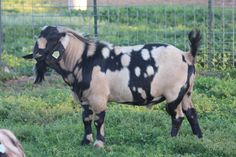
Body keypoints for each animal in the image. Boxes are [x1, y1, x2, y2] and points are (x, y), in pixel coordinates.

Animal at [23, 25, 202, 147]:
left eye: (53, 39)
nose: (36, 54)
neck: (82, 60)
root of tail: (187, 55)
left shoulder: (98, 97)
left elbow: (98, 120)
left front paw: (99, 144)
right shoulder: (84, 98)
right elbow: (86, 119)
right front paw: (85, 141)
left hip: (174, 93)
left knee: (177, 116)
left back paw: (171, 140)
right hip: (187, 92)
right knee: (191, 113)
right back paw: (198, 138)